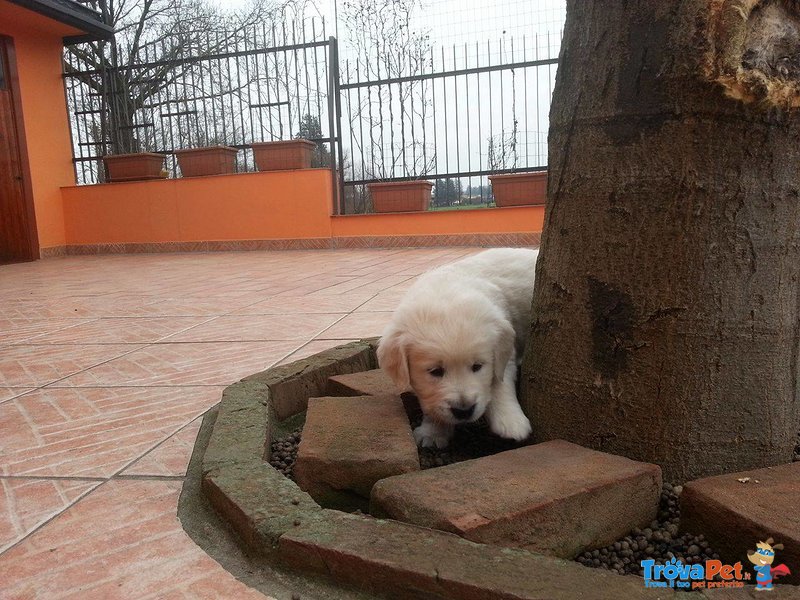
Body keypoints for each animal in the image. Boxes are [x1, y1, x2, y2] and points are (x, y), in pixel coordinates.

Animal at [376, 246, 536, 448]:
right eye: (435, 371)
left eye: (477, 366)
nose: (464, 410)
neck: (444, 290)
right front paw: (434, 431)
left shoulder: (504, 352)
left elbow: (500, 382)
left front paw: (510, 421)